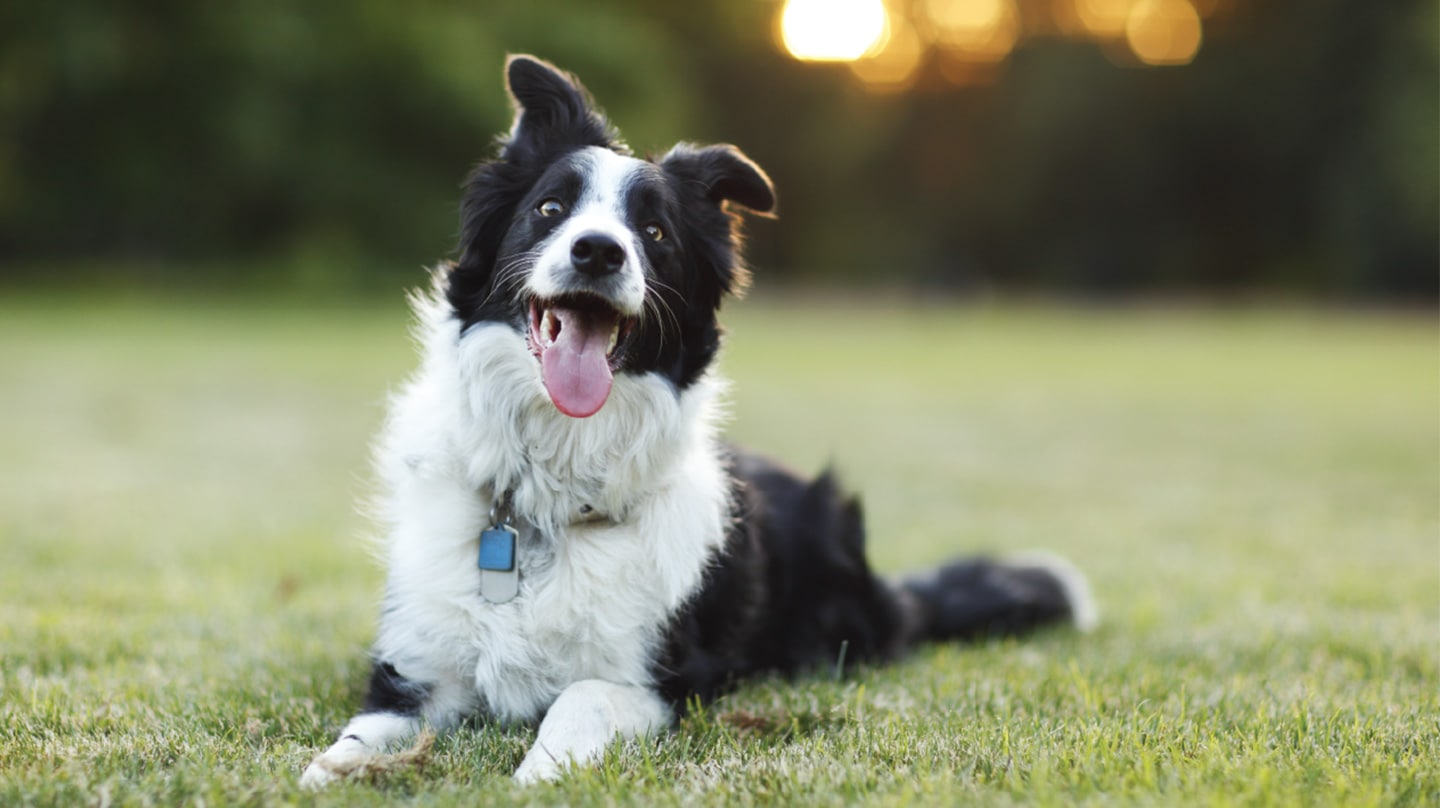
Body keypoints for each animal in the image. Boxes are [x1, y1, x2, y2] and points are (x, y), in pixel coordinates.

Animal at [300, 56, 1088, 789]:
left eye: (654, 231)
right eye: (551, 209)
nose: (599, 250)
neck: (550, 497)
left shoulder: (669, 681)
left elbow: (583, 694)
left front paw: (536, 774)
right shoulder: (414, 670)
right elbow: (361, 734)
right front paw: (332, 770)